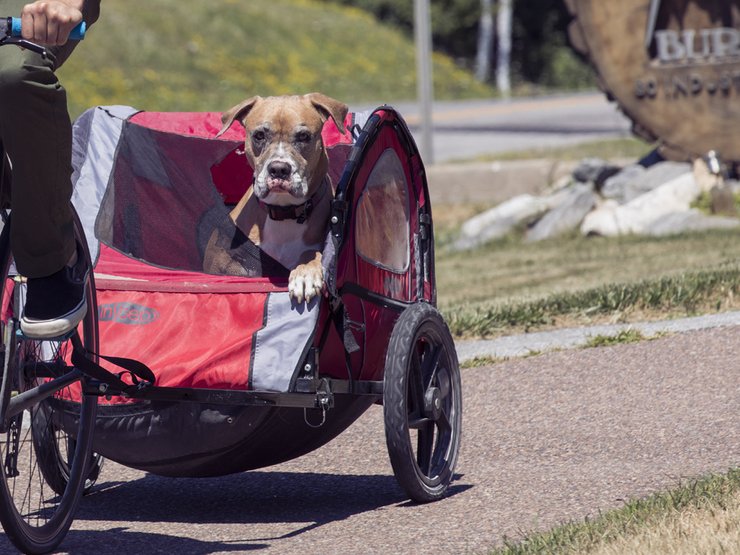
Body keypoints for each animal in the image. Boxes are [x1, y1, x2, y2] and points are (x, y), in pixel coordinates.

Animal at [204, 94, 348, 304]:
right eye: (259, 135)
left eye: (303, 136)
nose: (279, 169)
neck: (284, 212)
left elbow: (312, 253)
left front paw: (305, 273)